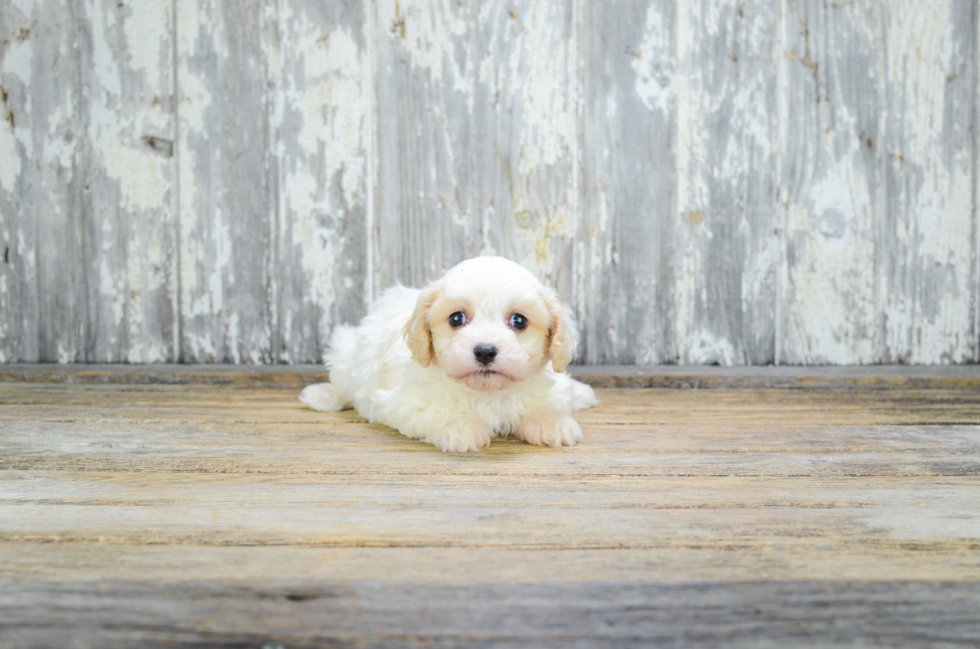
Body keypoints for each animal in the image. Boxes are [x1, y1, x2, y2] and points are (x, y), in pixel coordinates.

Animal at [298, 254, 596, 450]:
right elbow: (433, 411)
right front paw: (460, 426)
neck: (488, 394)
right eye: (456, 319)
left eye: (519, 321)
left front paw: (552, 422)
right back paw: (322, 395)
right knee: (343, 383)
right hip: (346, 351)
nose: (485, 351)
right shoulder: (401, 401)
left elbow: (552, 398)